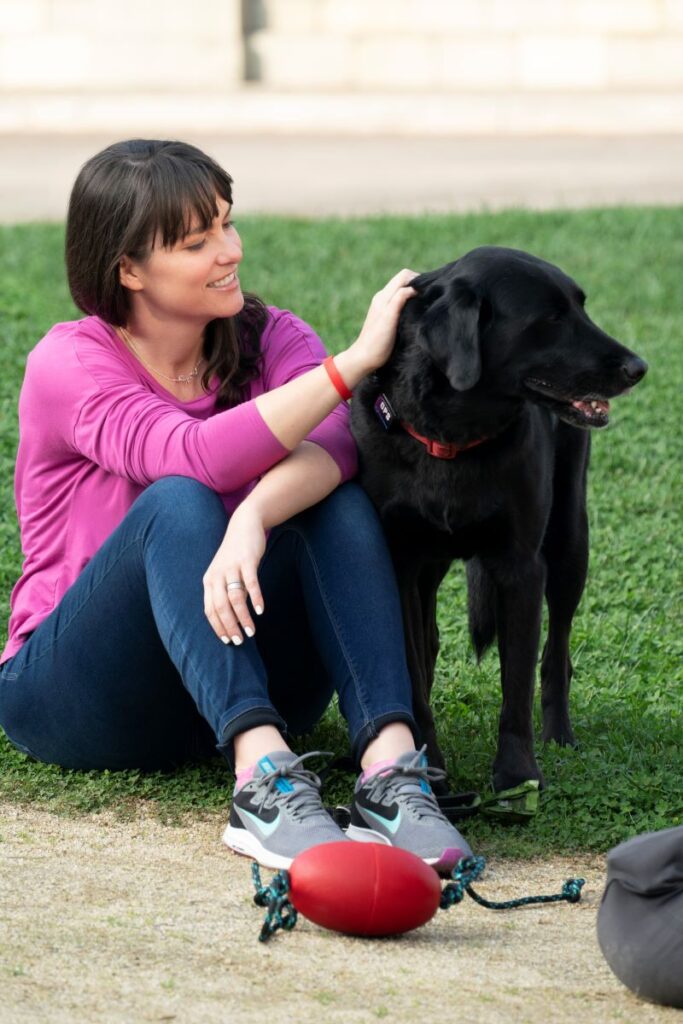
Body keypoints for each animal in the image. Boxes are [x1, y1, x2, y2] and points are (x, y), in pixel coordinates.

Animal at [350, 246, 647, 796]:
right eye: (551, 319)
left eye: (581, 306)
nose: (639, 367)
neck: (454, 435)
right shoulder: (399, 564)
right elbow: (412, 674)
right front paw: (429, 763)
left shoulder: (520, 567)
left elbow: (517, 685)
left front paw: (517, 775)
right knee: (429, 645)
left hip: (570, 542)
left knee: (557, 653)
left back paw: (560, 734)